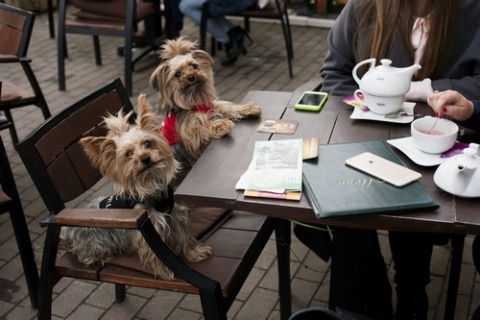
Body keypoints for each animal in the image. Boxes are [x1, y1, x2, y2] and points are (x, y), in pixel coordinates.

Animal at [61, 93, 211, 280]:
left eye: (147, 143)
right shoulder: (149, 233)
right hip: (94, 243)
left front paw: (194, 252)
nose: (145, 158)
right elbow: (156, 254)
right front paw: (167, 272)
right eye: (128, 154)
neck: (151, 186)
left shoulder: (175, 216)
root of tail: (68, 230)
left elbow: (184, 236)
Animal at [150, 37, 262, 185]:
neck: (194, 97)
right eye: (177, 74)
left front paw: (249, 108)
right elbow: (201, 129)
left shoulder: (213, 106)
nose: (191, 77)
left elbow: (229, 107)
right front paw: (222, 125)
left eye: (193, 66)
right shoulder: (190, 134)